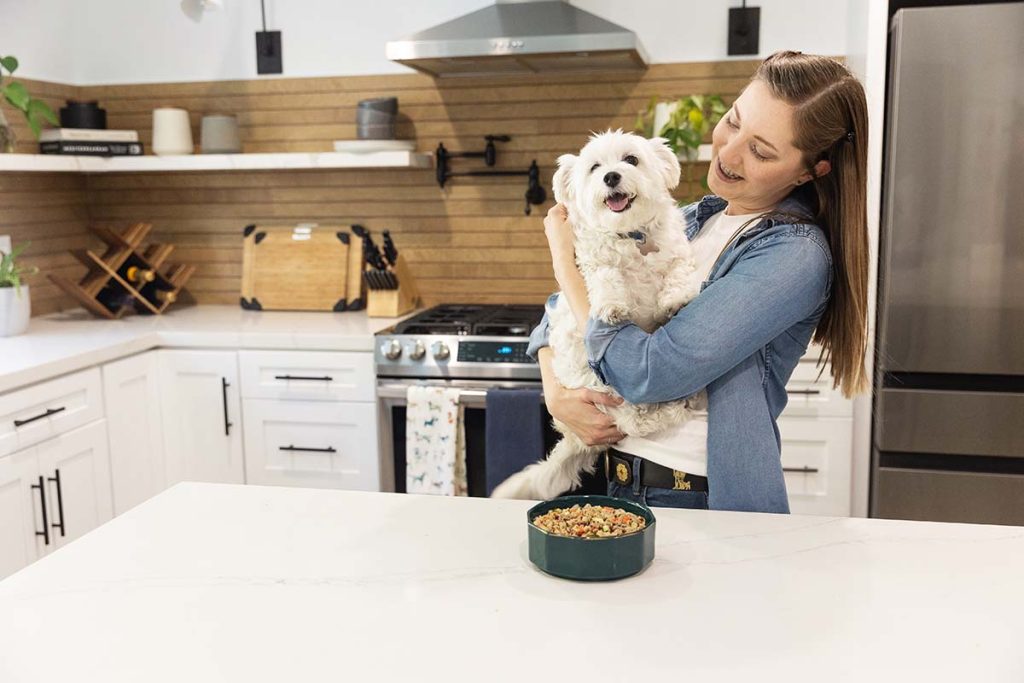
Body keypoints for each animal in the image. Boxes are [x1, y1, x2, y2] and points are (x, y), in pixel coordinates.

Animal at [493, 129, 704, 501]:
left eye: (631, 159)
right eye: (595, 168)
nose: (611, 177)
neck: (633, 234)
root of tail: (576, 440)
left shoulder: (677, 252)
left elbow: (679, 270)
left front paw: (676, 298)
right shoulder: (590, 262)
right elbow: (605, 275)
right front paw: (612, 306)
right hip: (601, 386)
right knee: (633, 420)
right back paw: (675, 405)